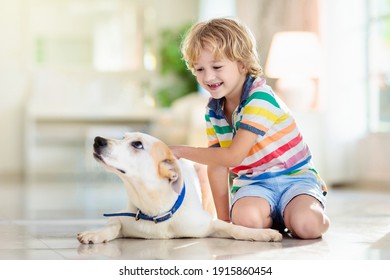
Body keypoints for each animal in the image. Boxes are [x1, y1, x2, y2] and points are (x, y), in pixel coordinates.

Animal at [77, 132, 284, 244]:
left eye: (137, 144)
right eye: (123, 137)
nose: (98, 140)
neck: (156, 210)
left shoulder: (208, 224)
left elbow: (235, 228)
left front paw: (262, 233)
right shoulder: (122, 217)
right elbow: (112, 225)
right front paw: (95, 233)